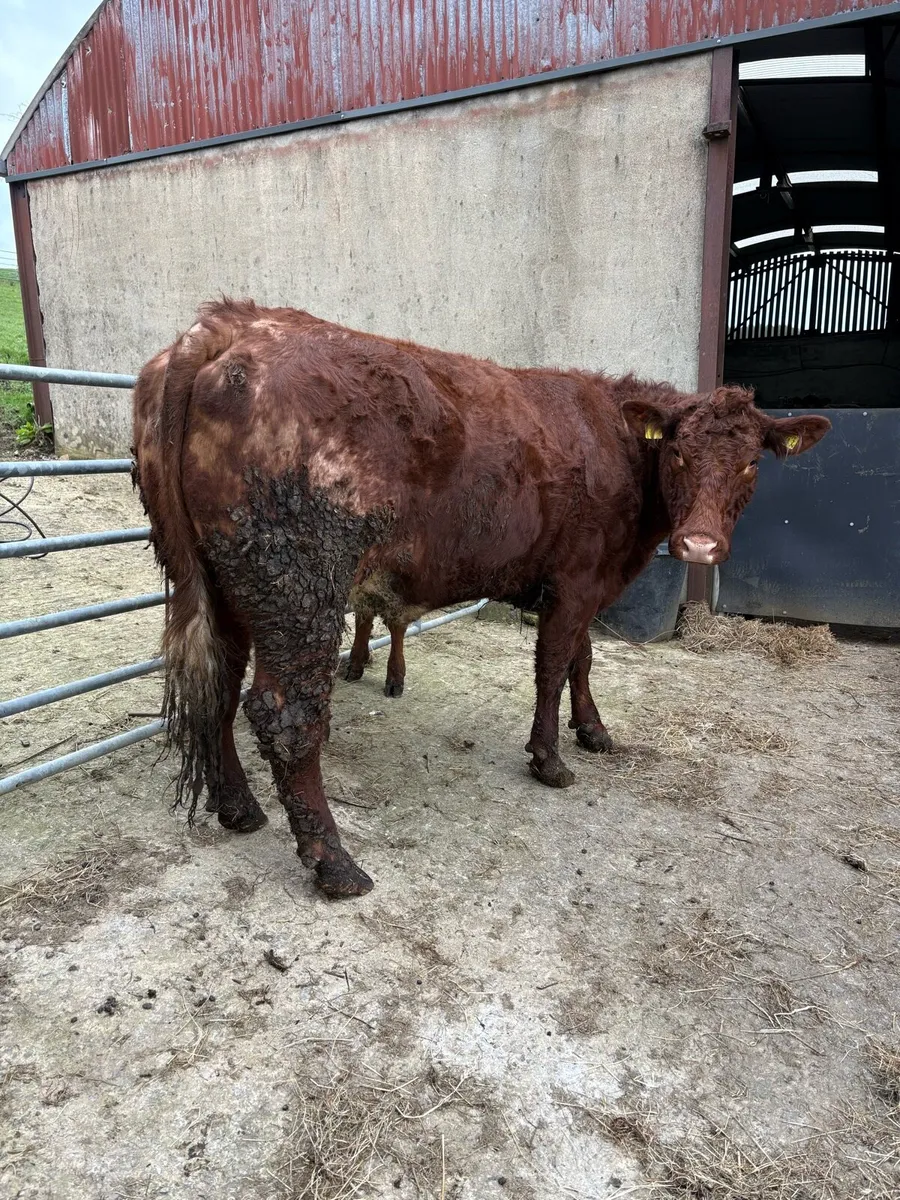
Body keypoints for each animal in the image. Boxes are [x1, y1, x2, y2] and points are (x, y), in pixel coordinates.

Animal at [132, 300, 830, 899]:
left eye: (752, 463)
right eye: (679, 453)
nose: (700, 545)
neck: (617, 443)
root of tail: (229, 323)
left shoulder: (586, 583)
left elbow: (582, 659)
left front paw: (593, 730)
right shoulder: (578, 578)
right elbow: (553, 666)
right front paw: (550, 760)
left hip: (222, 582)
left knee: (220, 685)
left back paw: (238, 808)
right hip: (299, 584)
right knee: (287, 714)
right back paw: (334, 862)